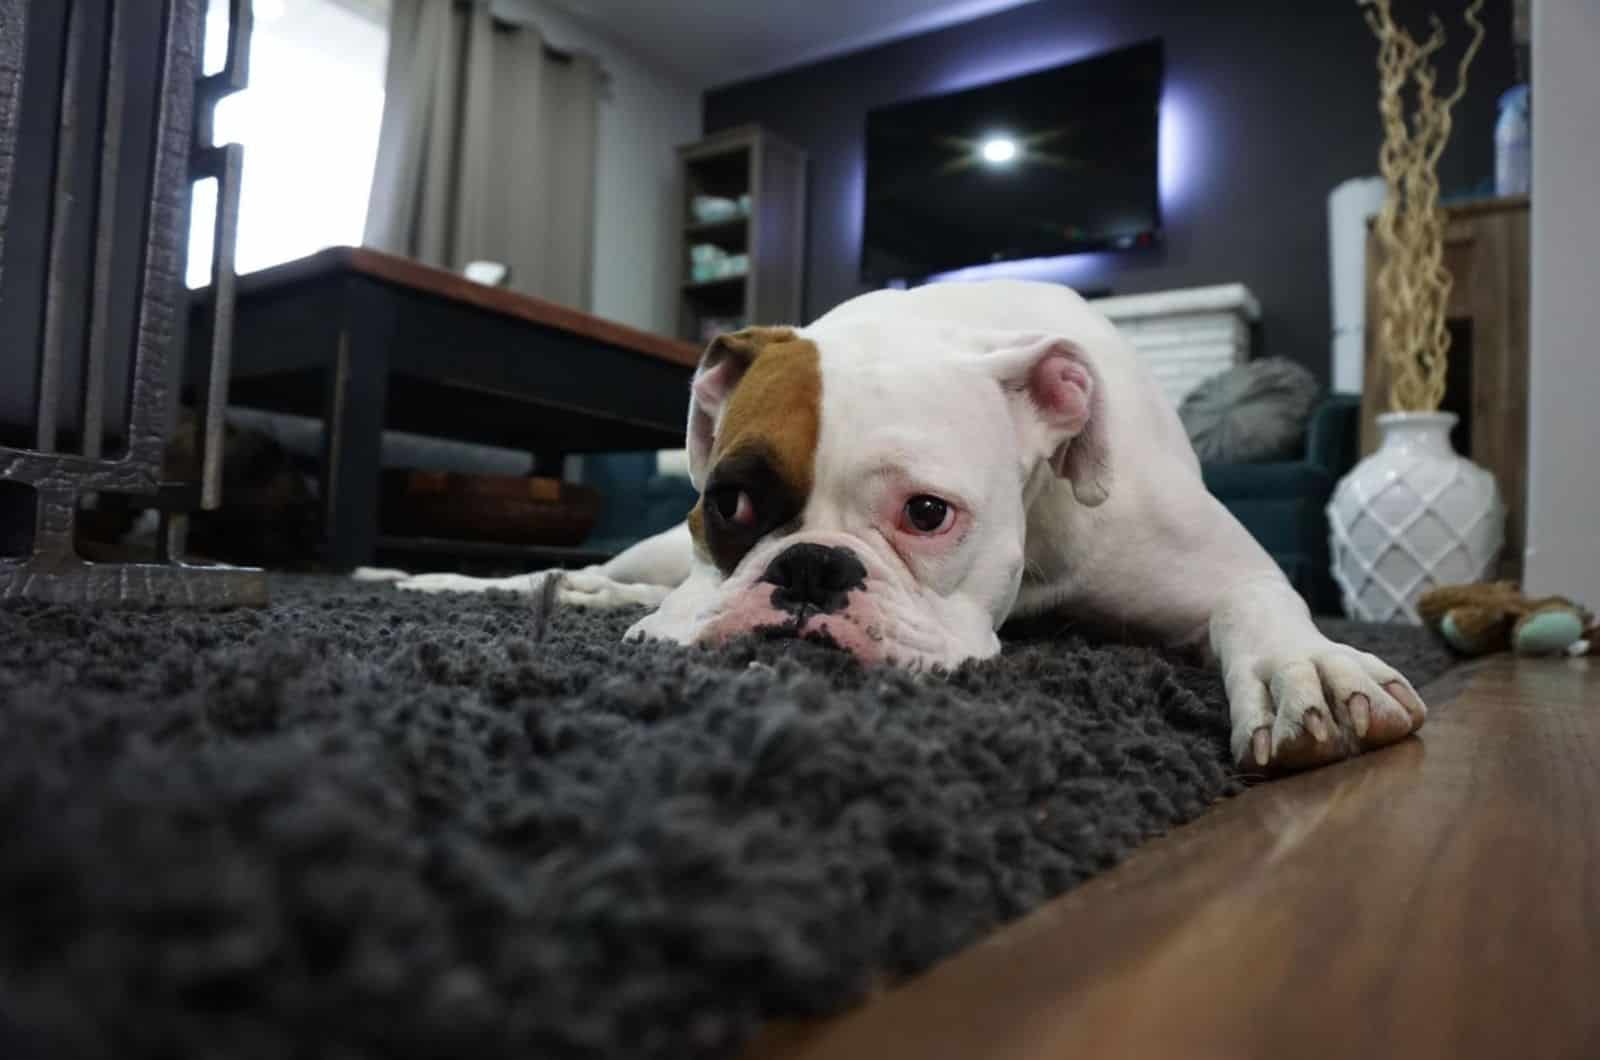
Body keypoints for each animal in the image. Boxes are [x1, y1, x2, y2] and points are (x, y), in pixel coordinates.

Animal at [366, 281, 1427, 771]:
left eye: (926, 514)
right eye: (731, 503)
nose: (810, 570)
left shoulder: (1226, 566)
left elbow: (1262, 607)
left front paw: (1307, 672)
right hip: (656, 548)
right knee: (608, 576)